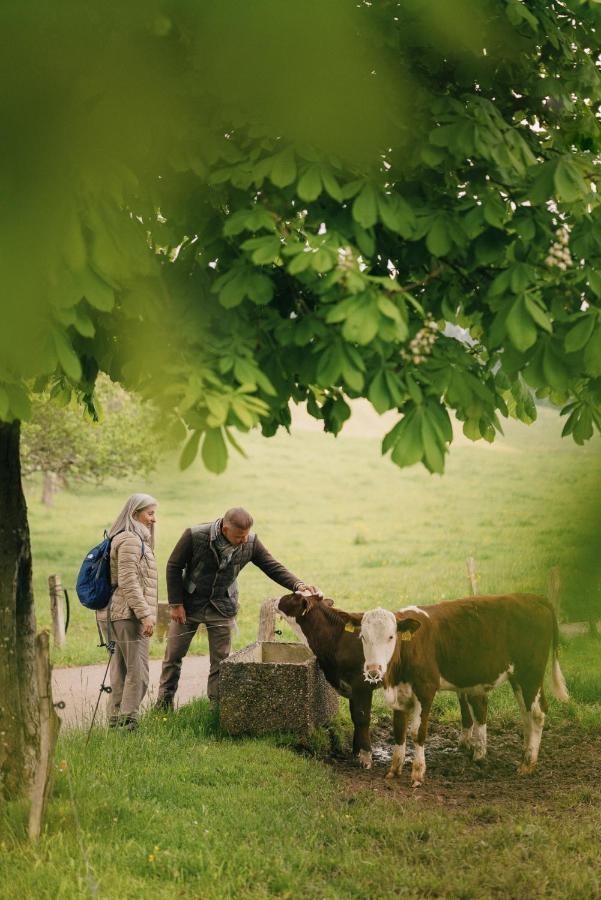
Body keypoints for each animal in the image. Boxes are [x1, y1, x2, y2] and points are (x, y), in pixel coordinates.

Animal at [276, 592, 378, 772]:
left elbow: (362, 718)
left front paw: (365, 757)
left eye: (293, 596)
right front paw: (356, 751)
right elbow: (355, 717)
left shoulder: (362, 685)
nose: (275, 599)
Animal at [338, 596, 568, 788]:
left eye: (391, 636)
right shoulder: (399, 695)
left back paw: (528, 763)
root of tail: (531, 598)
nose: (373, 670)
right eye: (363, 636)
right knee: (526, 714)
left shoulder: (426, 690)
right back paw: (525, 755)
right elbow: (399, 730)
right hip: (518, 677)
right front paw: (394, 770)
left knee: (537, 713)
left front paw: (417, 774)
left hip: (530, 673)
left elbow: (417, 732)